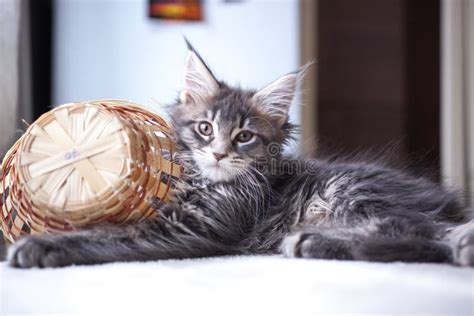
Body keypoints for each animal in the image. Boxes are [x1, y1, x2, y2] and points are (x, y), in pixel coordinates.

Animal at [7, 39, 474, 266]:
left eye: (244, 137)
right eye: (205, 129)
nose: (217, 154)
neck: (205, 184)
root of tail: (446, 202)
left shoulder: (191, 227)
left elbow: (113, 234)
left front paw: (41, 245)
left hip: (349, 191)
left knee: (417, 231)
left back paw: (314, 241)